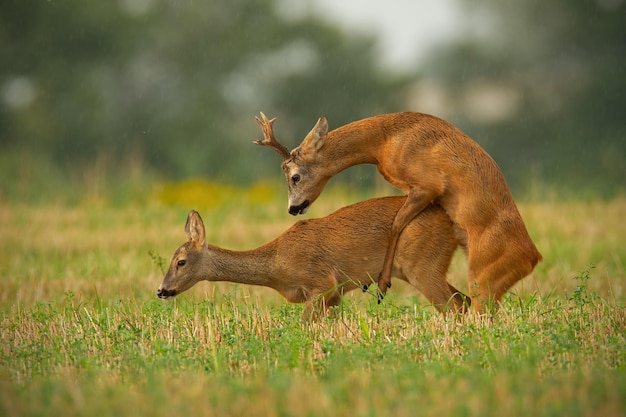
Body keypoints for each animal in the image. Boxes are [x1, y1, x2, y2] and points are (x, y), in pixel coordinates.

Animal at [157, 197, 468, 316]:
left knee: (454, 306)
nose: (161, 290)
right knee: (464, 300)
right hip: (433, 266)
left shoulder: (322, 283)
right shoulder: (335, 294)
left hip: (422, 266)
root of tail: (453, 223)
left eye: (181, 261)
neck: (276, 264)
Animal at [254, 111, 540, 312]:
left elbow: (396, 223)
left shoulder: (428, 185)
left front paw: (382, 284)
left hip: (483, 279)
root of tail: (533, 257)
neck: (384, 140)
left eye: (295, 176)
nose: (293, 208)